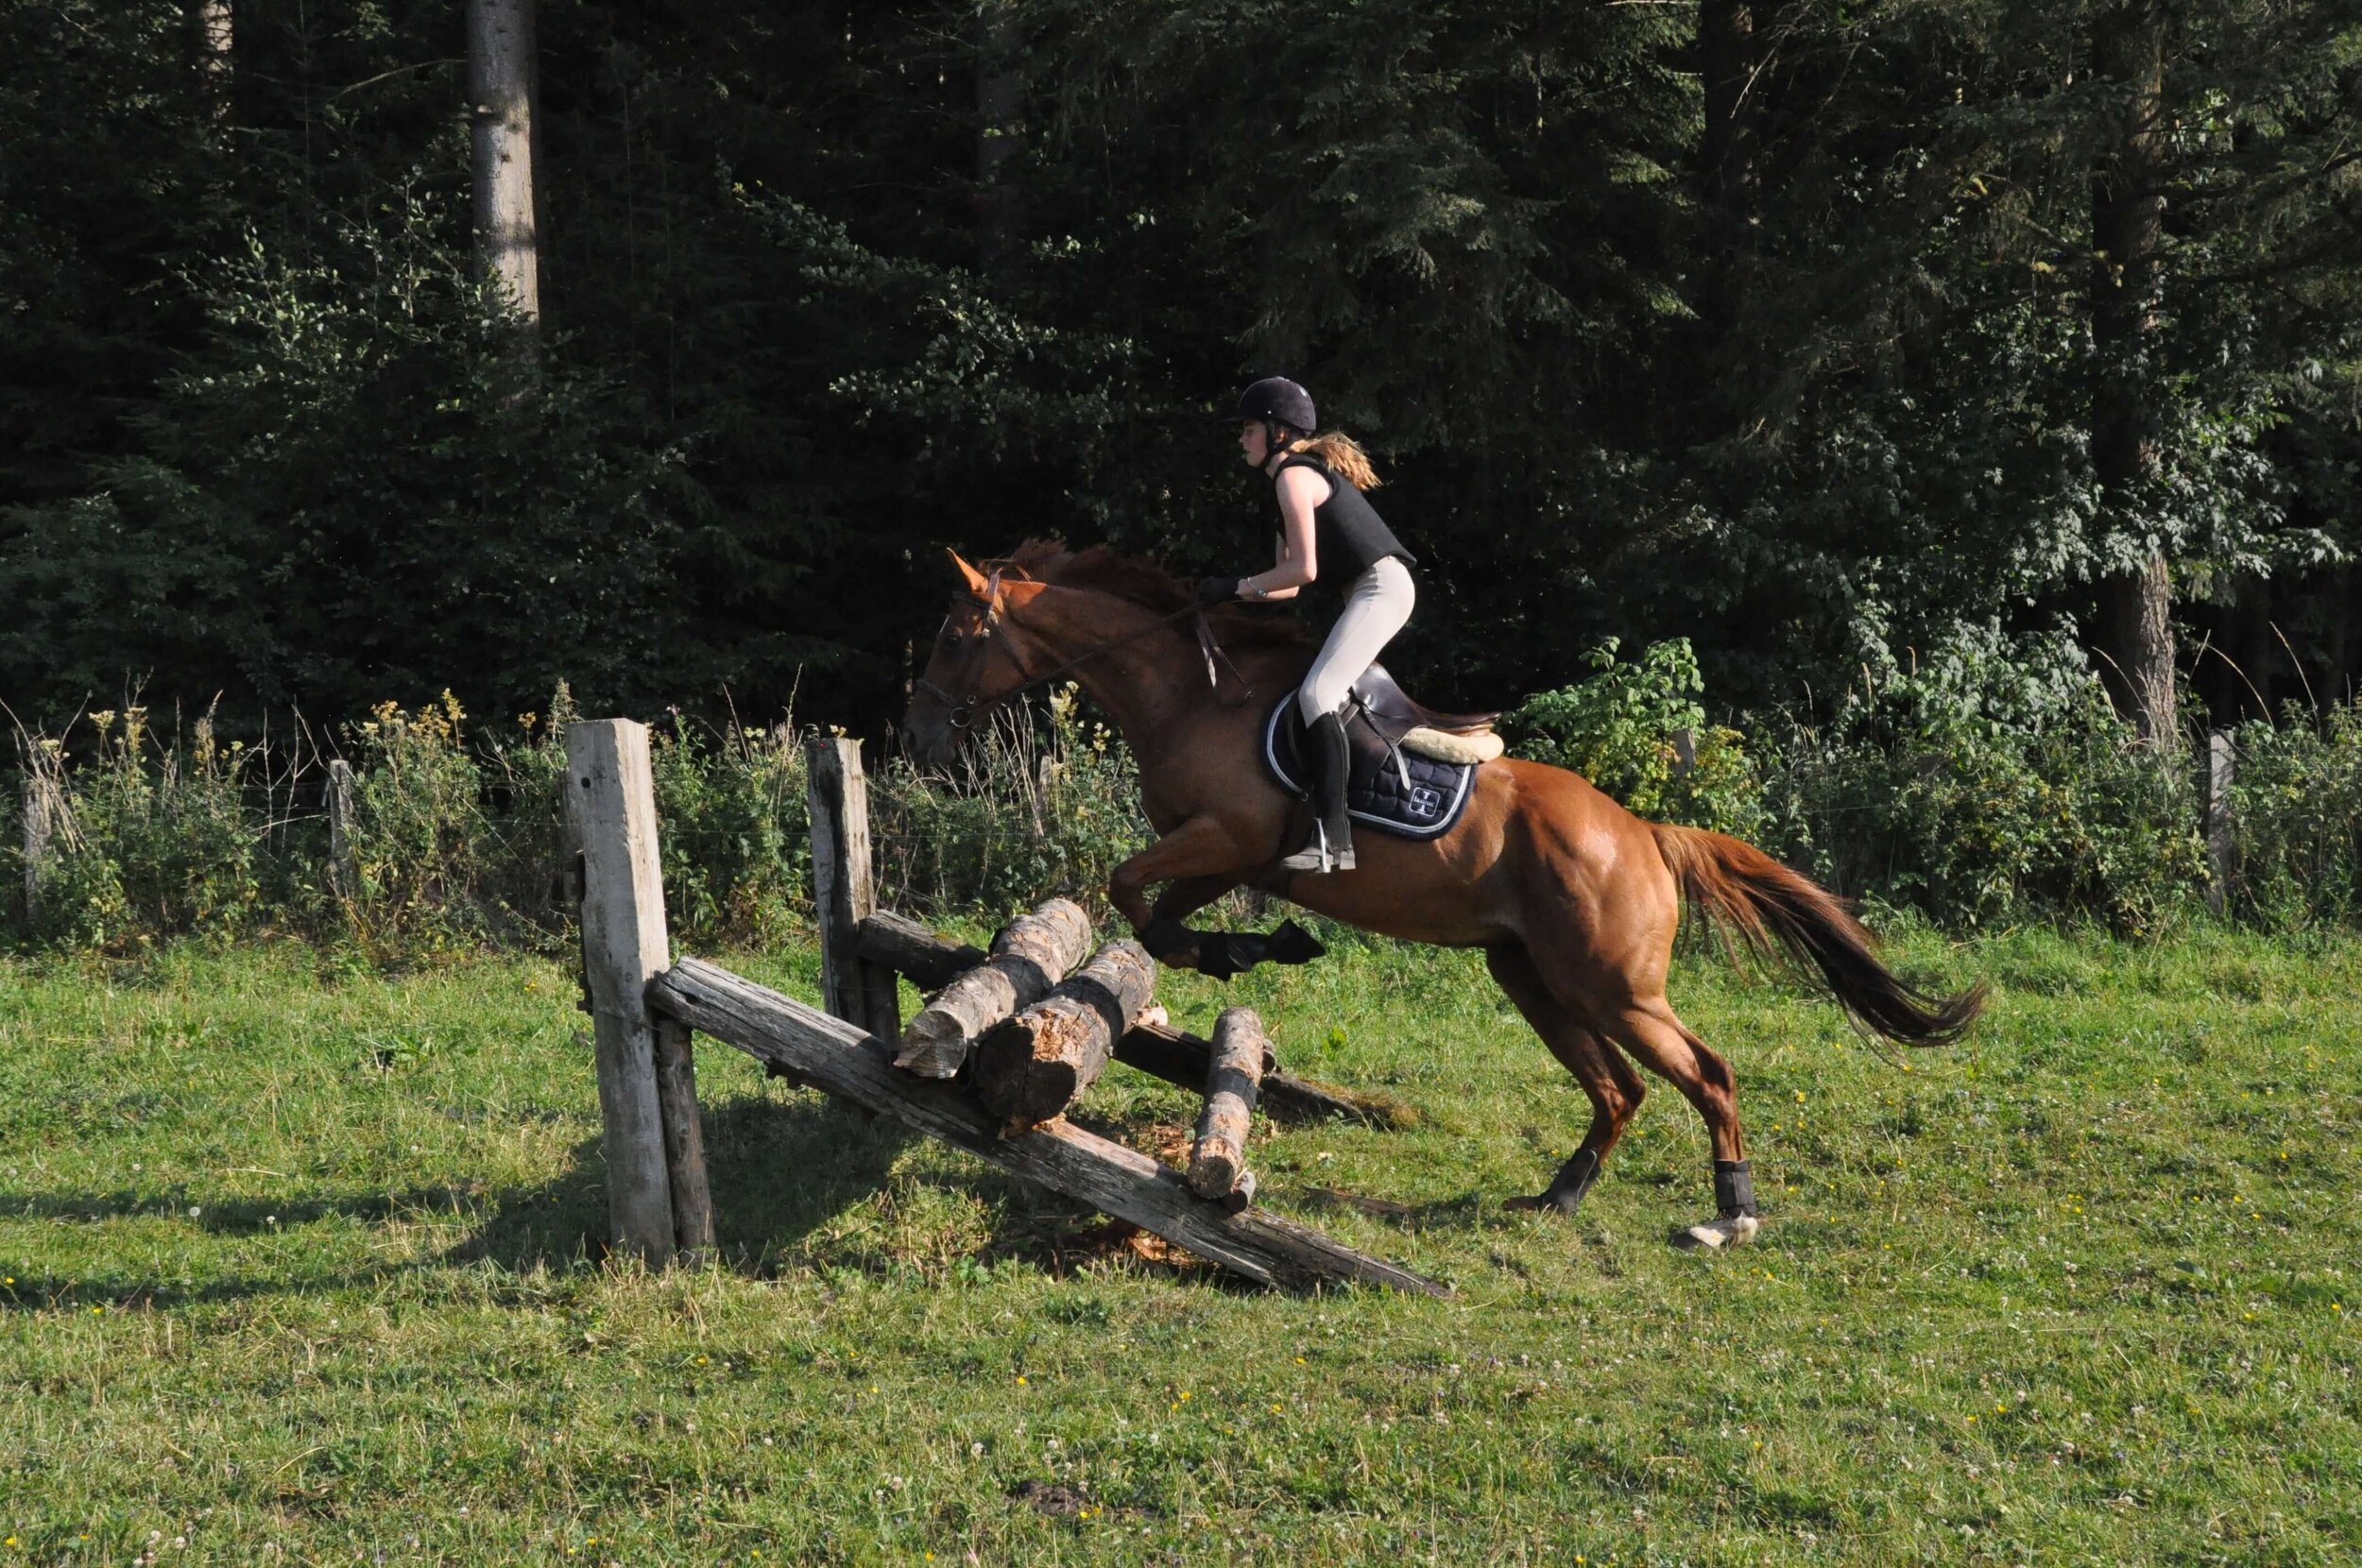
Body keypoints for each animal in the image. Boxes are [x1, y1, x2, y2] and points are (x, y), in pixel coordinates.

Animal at [898, 543, 1975, 1247]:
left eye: (951, 635)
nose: (920, 736)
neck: (1190, 692)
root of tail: (1644, 835)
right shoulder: (1235, 859)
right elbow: (1154, 913)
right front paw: (1257, 949)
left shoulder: (1229, 838)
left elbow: (1132, 889)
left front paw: (1242, 950)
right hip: (1534, 975)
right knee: (1620, 1089)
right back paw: (1558, 1198)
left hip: (1611, 984)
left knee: (1703, 1073)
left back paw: (1729, 1213)